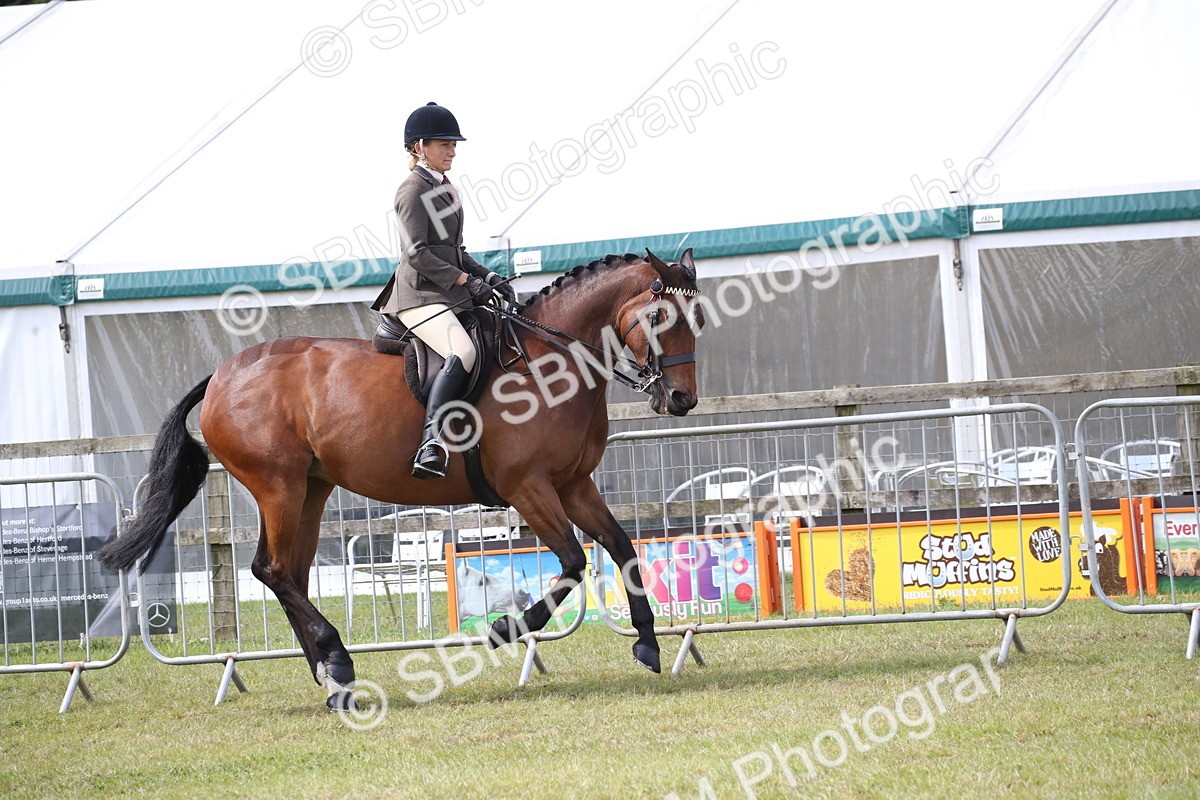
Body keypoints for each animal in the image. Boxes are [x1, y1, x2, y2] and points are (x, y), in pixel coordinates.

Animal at [97, 248, 702, 709]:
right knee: (271, 569)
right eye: (659, 319)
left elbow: (622, 547)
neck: (549, 361)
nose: (680, 400)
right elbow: (575, 562)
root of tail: (223, 373)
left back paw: (332, 677)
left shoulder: (574, 485)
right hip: (277, 485)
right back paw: (338, 664)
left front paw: (648, 643)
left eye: (697, 321)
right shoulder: (527, 487)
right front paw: (504, 629)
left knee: (291, 573)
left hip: (312, 489)